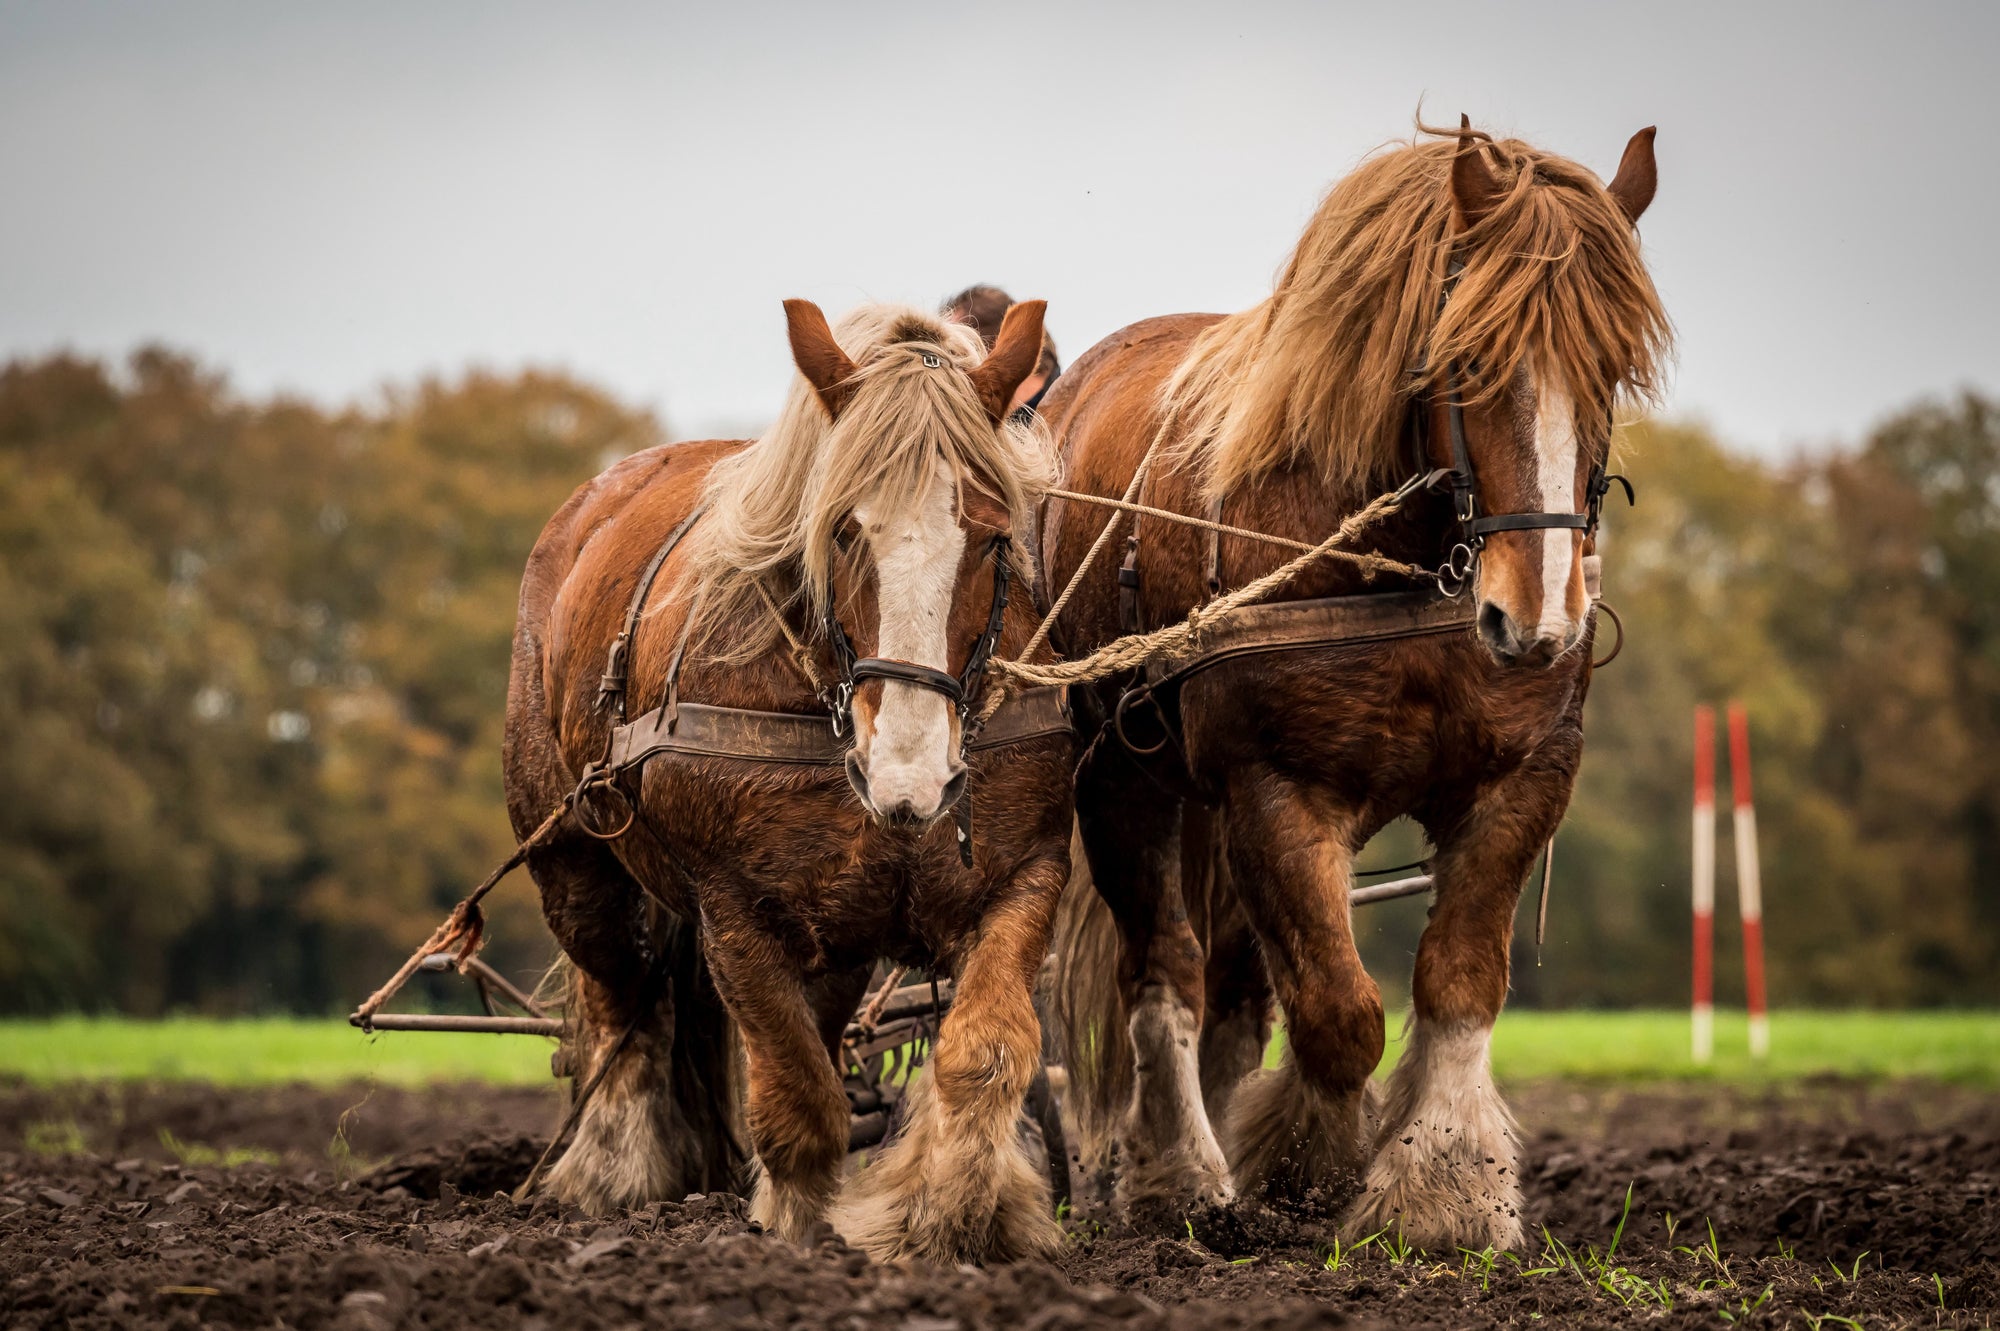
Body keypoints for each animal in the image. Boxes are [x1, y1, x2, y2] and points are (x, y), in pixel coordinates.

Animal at [502, 297, 1078, 1264]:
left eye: (994, 536)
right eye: (843, 528)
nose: (911, 777)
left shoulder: (1023, 873)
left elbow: (985, 1050)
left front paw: (951, 1217)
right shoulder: (732, 908)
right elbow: (798, 1093)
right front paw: (796, 1228)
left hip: (839, 931)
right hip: (572, 857)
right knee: (622, 997)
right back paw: (613, 1174)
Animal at [1040, 119, 1671, 1250]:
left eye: (1611, 365)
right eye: (1470, 358)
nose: (1539, 623)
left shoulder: (1522, 779)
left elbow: (1456, 980)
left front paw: (1444, 1188)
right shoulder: (1276, 791)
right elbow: (1338, 1013)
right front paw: (1307, 1172)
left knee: (1233, 989)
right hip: (1119, 776)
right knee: (1164, 970)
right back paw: (1177, 1175)